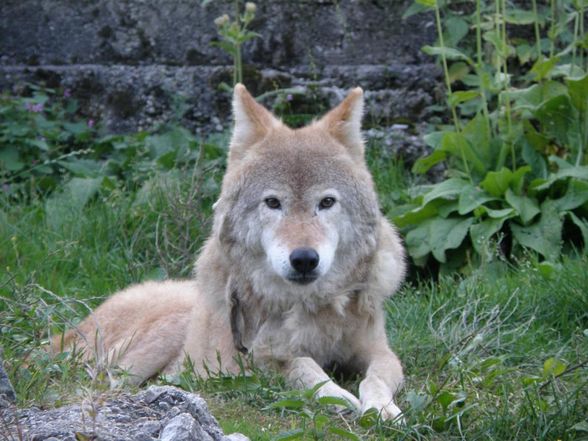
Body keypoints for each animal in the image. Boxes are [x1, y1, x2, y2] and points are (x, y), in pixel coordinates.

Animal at [52, 85, 406, 420]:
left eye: (327, 202)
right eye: (273, 203)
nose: (304, 259)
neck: (307, 307)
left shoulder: (379, 350)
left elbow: (378, 375)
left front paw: (382, 408)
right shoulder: (248, 359)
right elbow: (299, 365)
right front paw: (339, 397)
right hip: (156, 340)